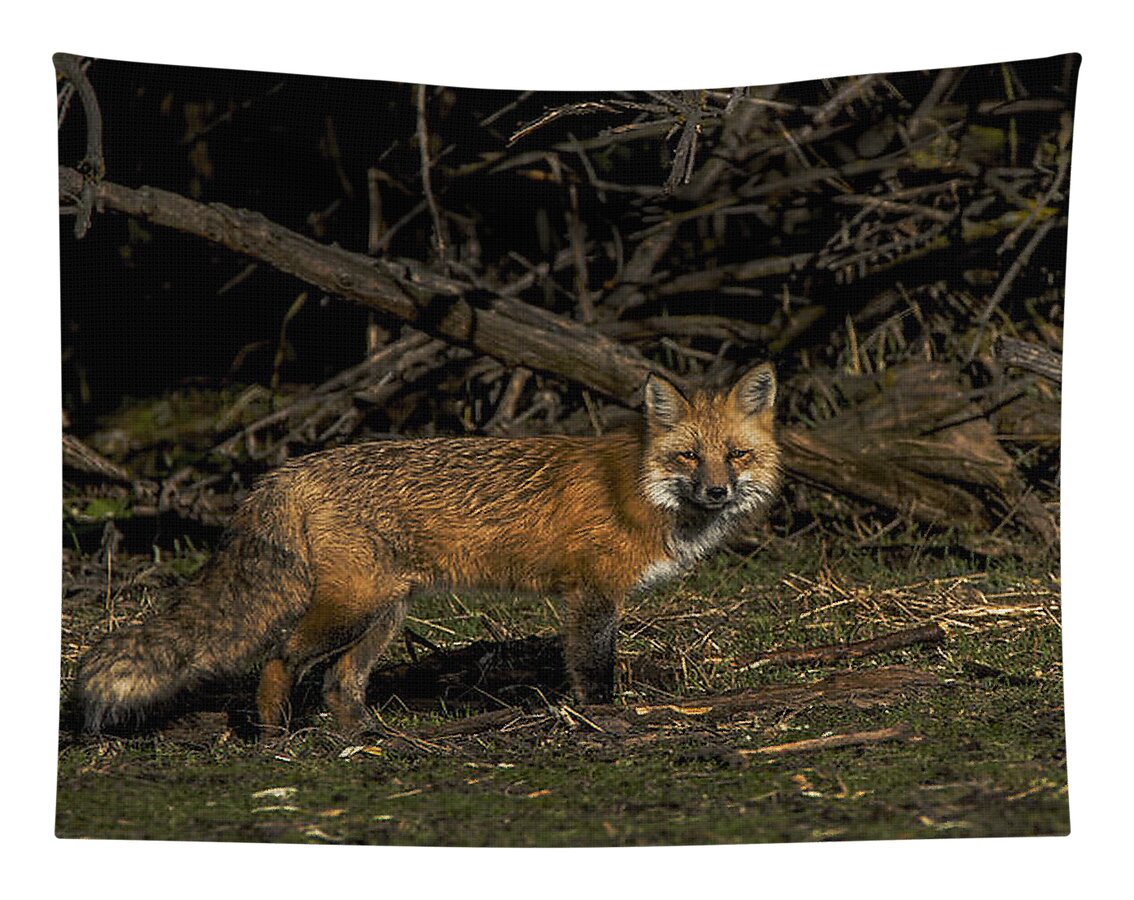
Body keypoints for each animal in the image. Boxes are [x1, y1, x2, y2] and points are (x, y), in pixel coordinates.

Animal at [74, 363, 780, 736]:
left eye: (736, 455)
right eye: (687, 456)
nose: (717, 491)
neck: (639, 486)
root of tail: (287, 470)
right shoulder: (593, 595)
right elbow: (593, 669)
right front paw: (605, 721)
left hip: (384, 614)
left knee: (339, 683)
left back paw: (366, 740)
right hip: (352, 609)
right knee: (279, 657)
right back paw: (276, 734)